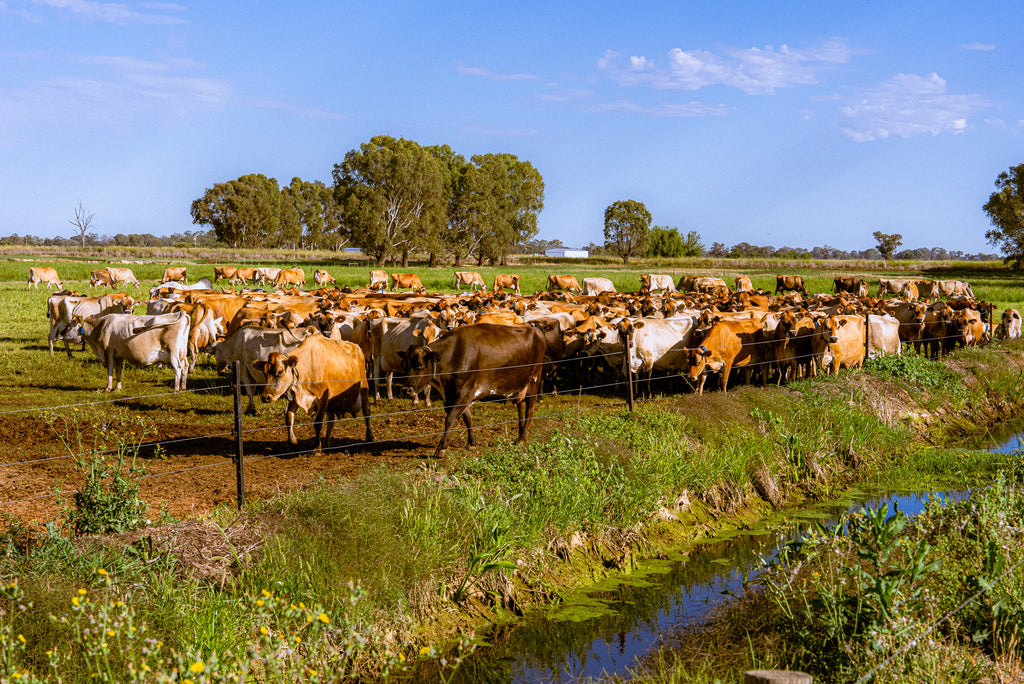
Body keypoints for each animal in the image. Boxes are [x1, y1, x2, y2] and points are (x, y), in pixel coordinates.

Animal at [399, 323, 548, 456]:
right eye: (405, 365)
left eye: (419, 364)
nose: (406, 389)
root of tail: (535, 329)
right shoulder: (453, 395)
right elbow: (467, 418)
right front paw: (472, 443)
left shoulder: (466, 392)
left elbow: (450, 418)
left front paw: (442, 448)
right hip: (519, 386)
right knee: (521, 409)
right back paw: (520, 437)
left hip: (534, 380)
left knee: (530, 409)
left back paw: (523, 438)